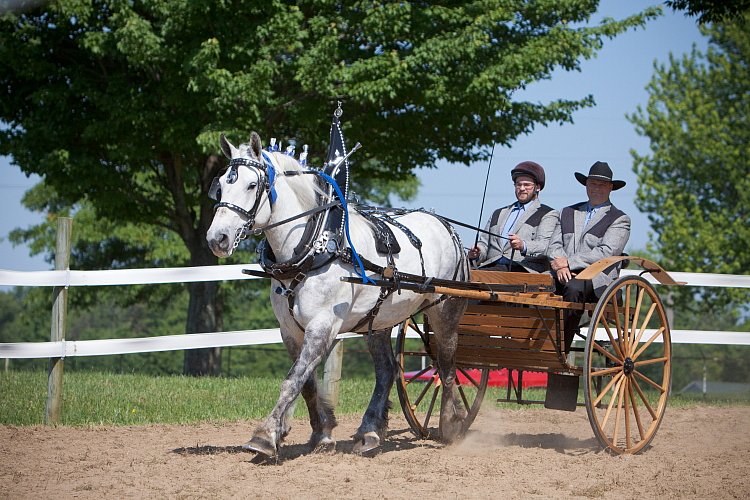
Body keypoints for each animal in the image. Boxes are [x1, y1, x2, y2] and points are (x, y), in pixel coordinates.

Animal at [206, 132, 472, 458]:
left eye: (251, 185)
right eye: (220, 185)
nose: (217, 238)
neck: (315, 247)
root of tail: (448, 228)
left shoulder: (323, 325)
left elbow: (292, 379)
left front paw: (265, 436)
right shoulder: (290, 330)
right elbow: (306, 383)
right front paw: (320, 435)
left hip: (445, 309)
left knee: (446, 365)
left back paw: (450, 424)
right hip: (378, 320)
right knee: (387, 370)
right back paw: (369, 432)